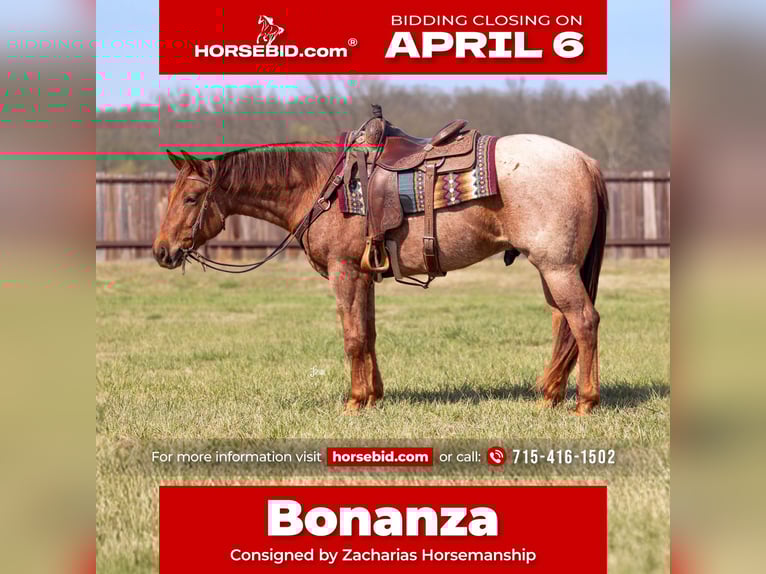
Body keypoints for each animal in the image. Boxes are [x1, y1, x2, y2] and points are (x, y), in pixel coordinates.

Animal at [153, 131, 608, 415]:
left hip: (557, 267)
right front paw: (373, 396)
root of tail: (585, 161)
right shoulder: (364, 275)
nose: (161, 251)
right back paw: (549, 395)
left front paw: (355, 401)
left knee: (584, 321)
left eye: (191, 198)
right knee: (563, 323)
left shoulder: (345, 272)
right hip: (553, 269)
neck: (322, 188)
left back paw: (585, 401)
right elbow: (368, 334)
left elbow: (352, 337)